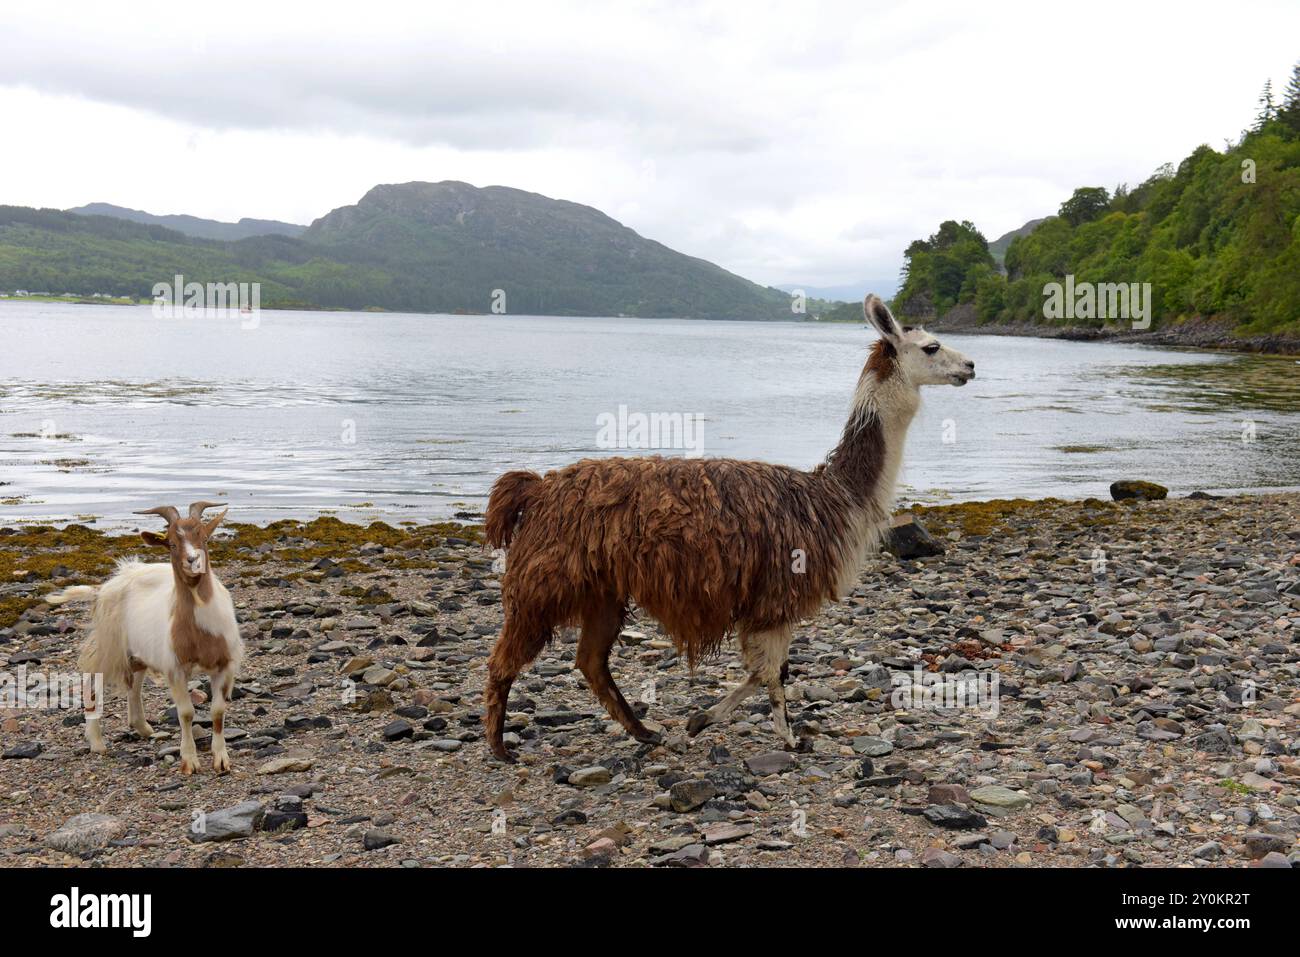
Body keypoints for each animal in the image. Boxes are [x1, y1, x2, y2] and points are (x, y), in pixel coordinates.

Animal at [47, 504, 245, 774]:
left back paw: (142, 727)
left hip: (136, 652)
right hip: (110, 644)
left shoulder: (225, 664)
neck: (200, 632)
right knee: (92, 682)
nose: (193, 561)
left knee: (134, 684)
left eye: (204, 538)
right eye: (171, 543)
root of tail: (104, 588)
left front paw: (221, 759)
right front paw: (189, 761)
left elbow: (217, 711)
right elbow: (186, 713)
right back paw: (97, 742)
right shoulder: (175, 668)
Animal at [486, 299, 977, 764]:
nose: (971, 366)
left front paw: (701, 721)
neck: (836, 496)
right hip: (546, 579)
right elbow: (770, 674)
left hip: (601, 588)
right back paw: (499, 747)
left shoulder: (766, 601)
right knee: (504, 659)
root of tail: (537, 487)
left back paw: (643, 732)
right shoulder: (776, 597)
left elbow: (766, 673)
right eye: (932, 347)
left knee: (590, 660)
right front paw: (784, 737)